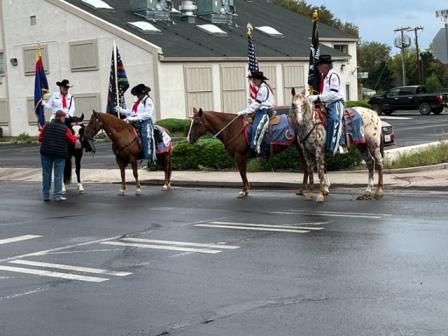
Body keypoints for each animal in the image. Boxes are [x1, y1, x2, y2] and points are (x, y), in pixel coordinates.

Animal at [187, 107, 324, 197]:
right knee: (307, 167)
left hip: (302, 148)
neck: (231, 128)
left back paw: (305, 189)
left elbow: (242, 172)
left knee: (307, 167)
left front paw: (244, 190)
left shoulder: (239, 156)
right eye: (191, 122)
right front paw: (246, 189)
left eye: (197, 123)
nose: (189, 138)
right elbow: (243, 172)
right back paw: (304, 189)